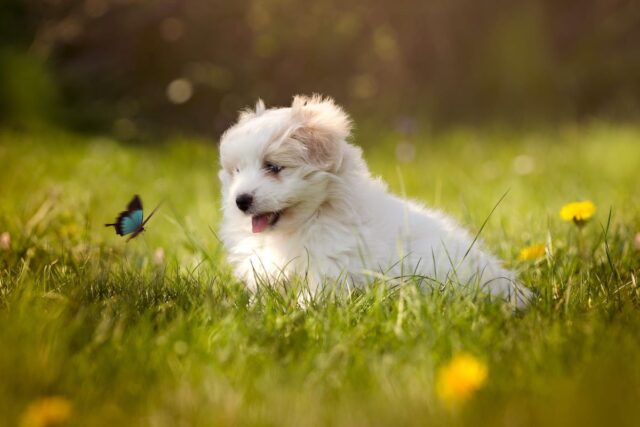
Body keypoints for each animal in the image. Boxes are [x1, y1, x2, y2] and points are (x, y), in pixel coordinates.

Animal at [218, 95, 532, 308]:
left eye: (273, 167)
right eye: (236, 171)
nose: (241, 201)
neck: (311, 217)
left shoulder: (330, 266)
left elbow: (313, 295)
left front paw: (300, 313)